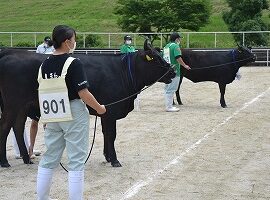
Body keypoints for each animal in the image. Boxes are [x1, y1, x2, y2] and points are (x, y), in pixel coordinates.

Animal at [0, 40, 175, 167]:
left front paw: (107, 157)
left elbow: (106, 134)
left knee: (17, 127)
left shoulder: (105, 111)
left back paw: (26, 159)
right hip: (11, 105)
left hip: (22, 106)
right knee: (5, 128)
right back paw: (5, 162)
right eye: (156, 58)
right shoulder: (111, 110)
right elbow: (112, 134)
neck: (123, 71)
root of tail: (11, 52)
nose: (173, 71)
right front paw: (115, 160)